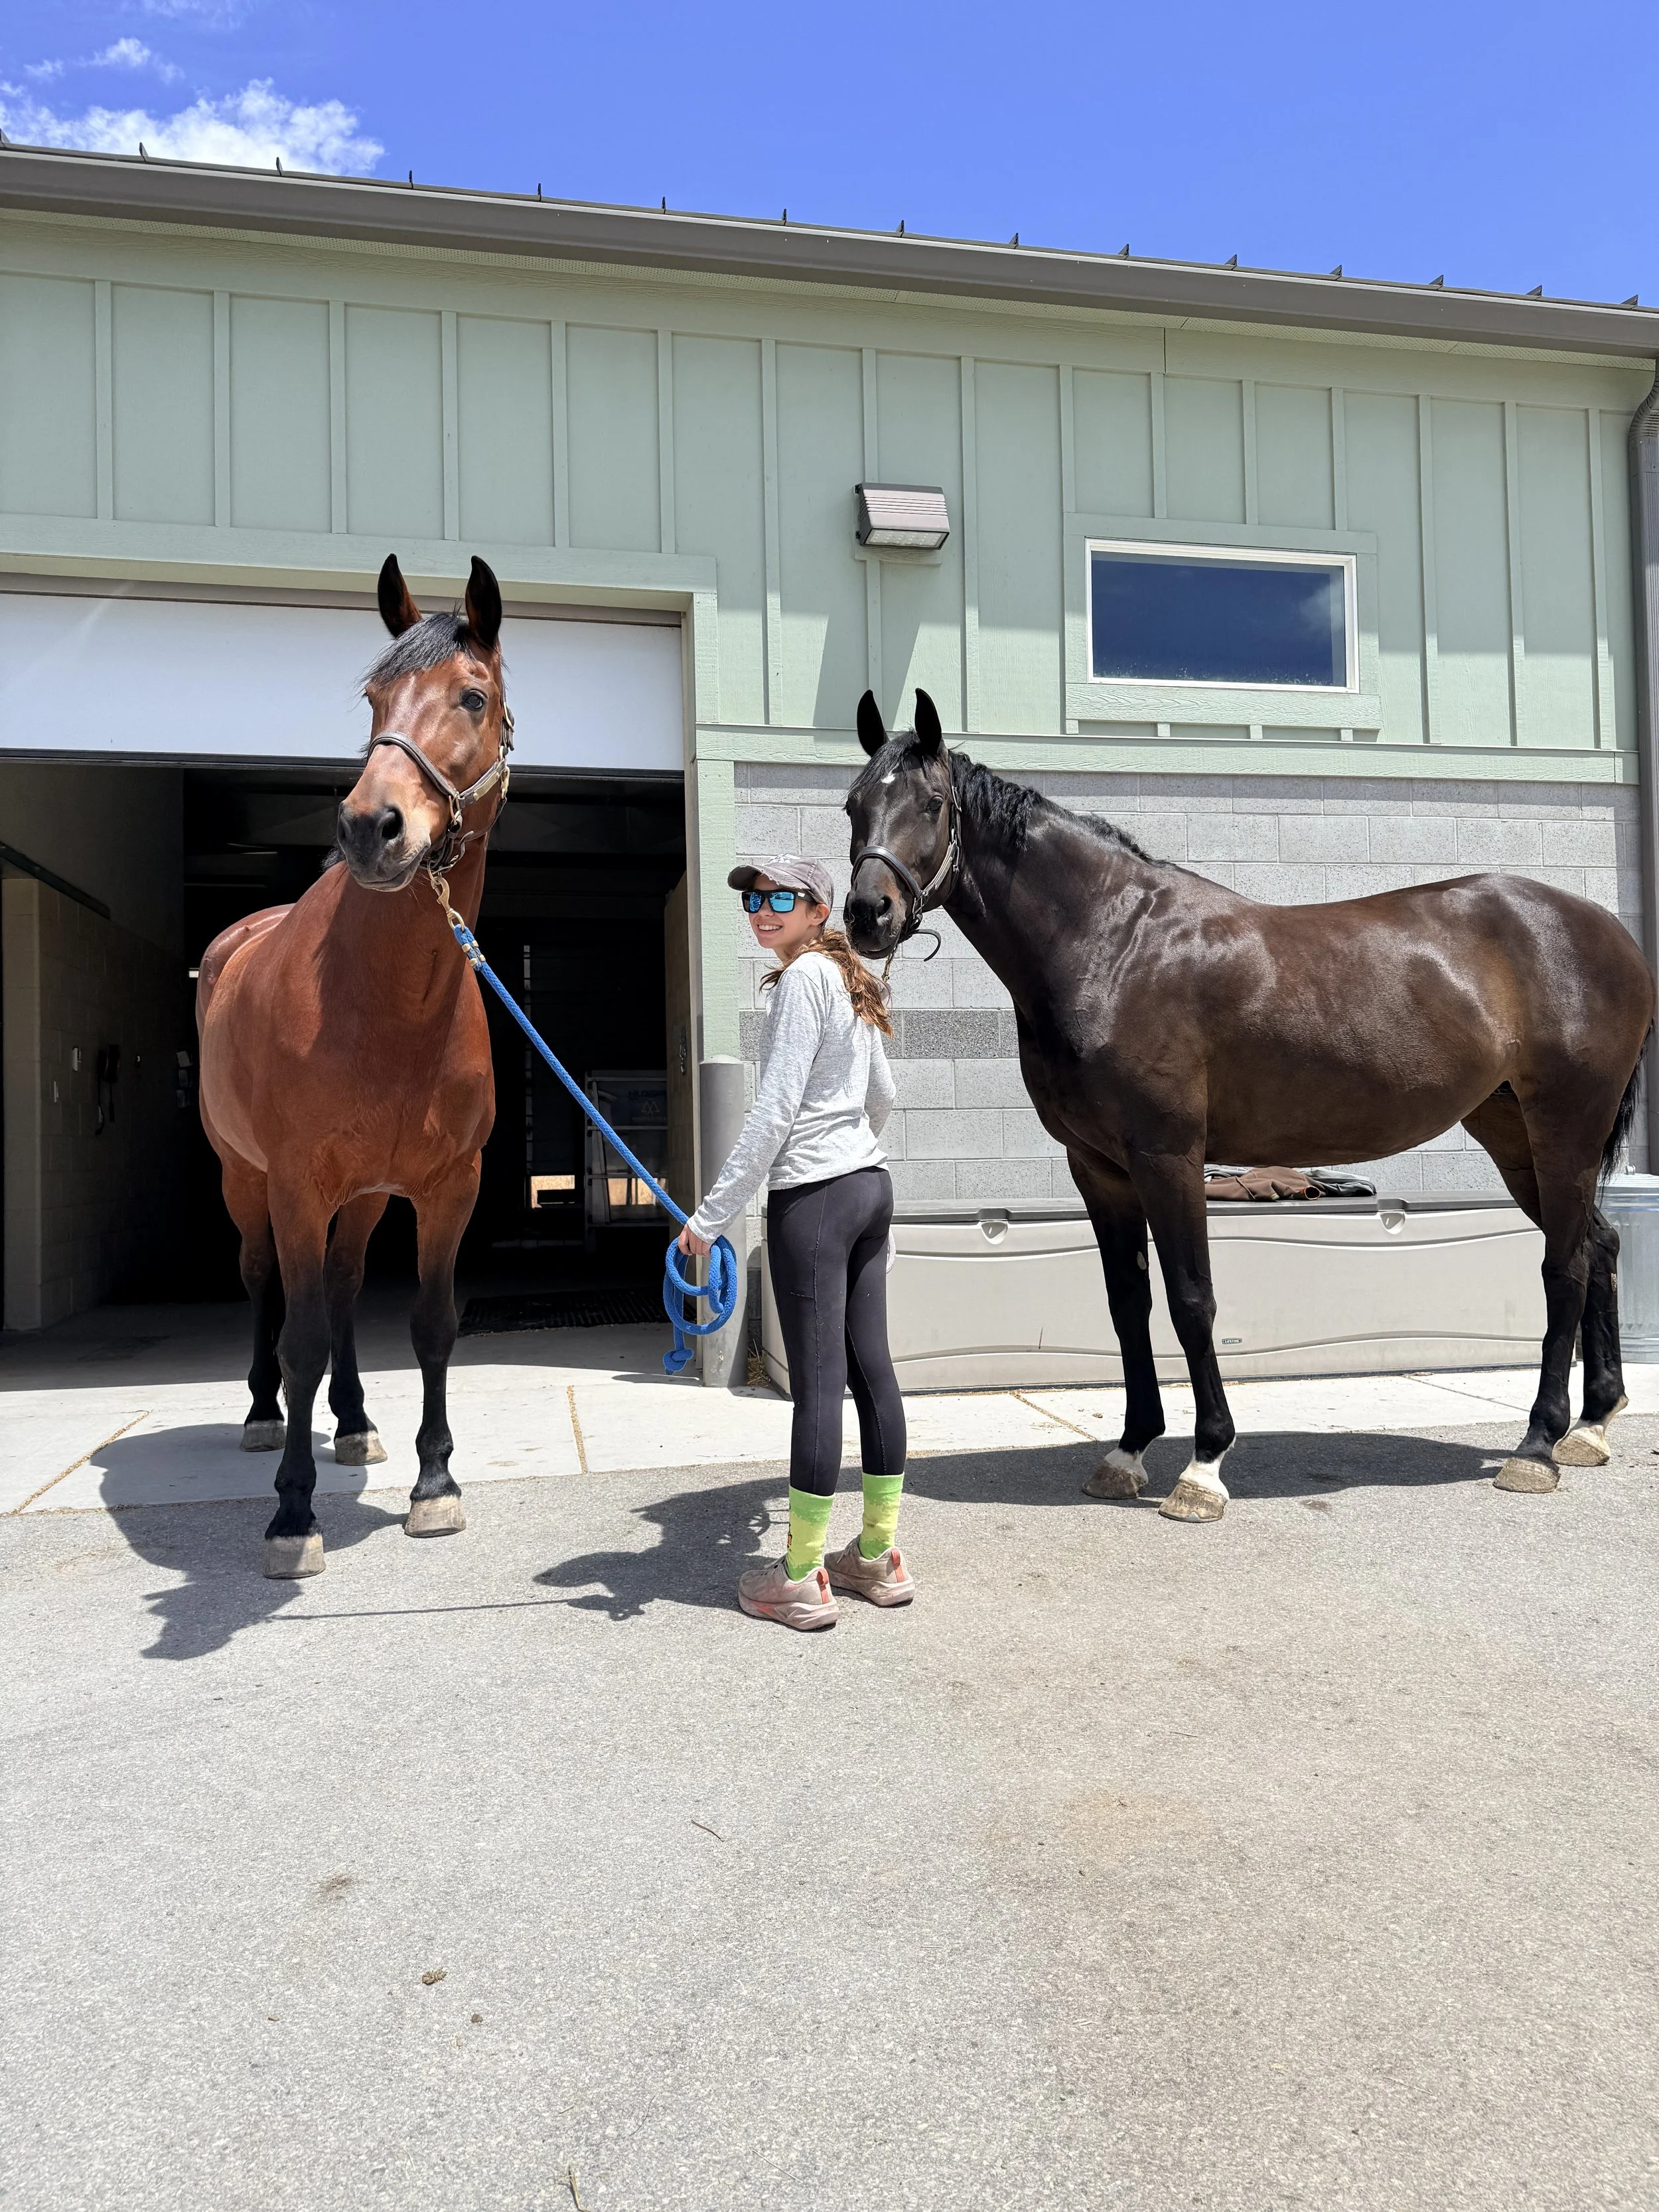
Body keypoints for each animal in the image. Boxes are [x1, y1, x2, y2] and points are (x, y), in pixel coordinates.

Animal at [197, 554, 512, 1577]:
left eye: (472, 696)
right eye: (374, 699)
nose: (374, 827)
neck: (389, 1004)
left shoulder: (450, 1185)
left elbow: (431, 1324)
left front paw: (435, 1481)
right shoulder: (296, 1183)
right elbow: (299, 1337)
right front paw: (292, 1514)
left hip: (367, 1195)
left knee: (337, 1288)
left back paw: (354, 1423)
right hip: (245, 1180)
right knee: (267, 1285)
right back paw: (265, 1417)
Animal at [843, 689, 1654, 1519]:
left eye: (932, 803)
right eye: (854, 806)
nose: (868, 913)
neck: (1112, 946)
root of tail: (1602, 929)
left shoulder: (1169, 1158)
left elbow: (1190, 1299)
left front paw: (1204, 1465)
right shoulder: (1097, 1168)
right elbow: (1127, 1306)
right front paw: (1128, 1452)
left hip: (1565, 1130)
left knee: (1564, 1266)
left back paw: (1536, 1444)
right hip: (1511, 1132)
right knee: (1598, 1246)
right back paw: (1590, 1426)